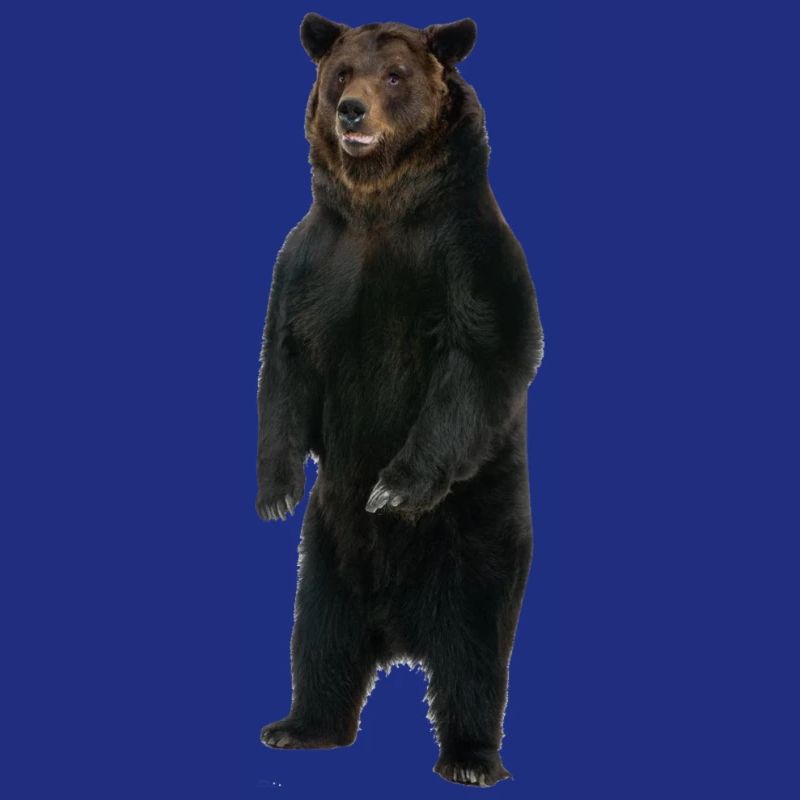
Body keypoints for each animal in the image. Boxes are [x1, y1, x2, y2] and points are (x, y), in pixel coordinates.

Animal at [255, 13, 545, 788]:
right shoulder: (312, 262)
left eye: (396, 75)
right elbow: (285, 364)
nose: (352, 111)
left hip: (479, 537)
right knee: (319, 638)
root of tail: (400, 631)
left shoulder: (465, 256)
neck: (380, 206)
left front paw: (393, 488)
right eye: (341, 72)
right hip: (326, 555)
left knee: (474, 653)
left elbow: (478, 359)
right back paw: (299, 725)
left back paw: (471, 757)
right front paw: (276, 490)